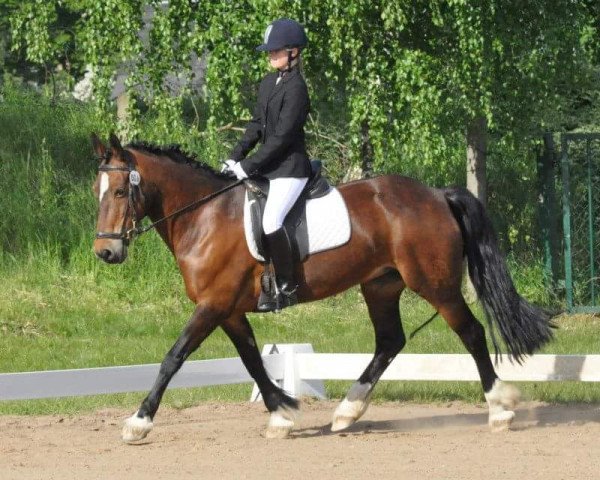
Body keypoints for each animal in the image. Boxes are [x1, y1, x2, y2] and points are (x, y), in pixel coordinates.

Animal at [91, 132, 556, 442]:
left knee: (471, 332)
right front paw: (281, 413)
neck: (204, 216)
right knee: (390, 341)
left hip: (435, 285)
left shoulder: (213, 304)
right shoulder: (229, 309)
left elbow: (174, 357)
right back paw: (347, 412)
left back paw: (499, 409)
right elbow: (252, 360)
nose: (106, 253)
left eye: (121, 191)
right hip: (381, 286)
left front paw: (138, 423)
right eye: (98, 191)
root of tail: (437, 194)